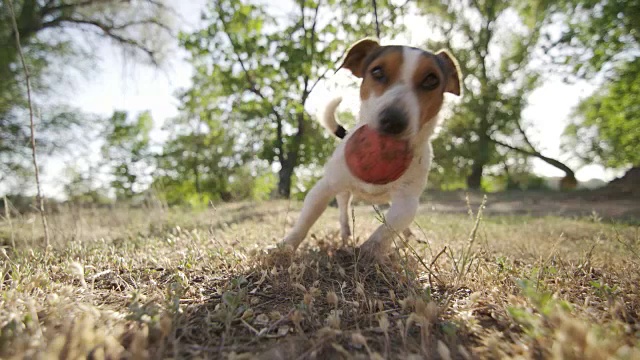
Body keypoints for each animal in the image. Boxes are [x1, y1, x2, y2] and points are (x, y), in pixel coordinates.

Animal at [280, 38, 460, 260]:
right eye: (377, 72)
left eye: (431, 80)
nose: (393, 121)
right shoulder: (325, 187)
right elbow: (306, 219)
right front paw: (285, 246)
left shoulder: (407, 202)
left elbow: (385, 231)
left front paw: (368, 254)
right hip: (343, 192)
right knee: (343, 211)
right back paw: (346, 234)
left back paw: (408, 236)